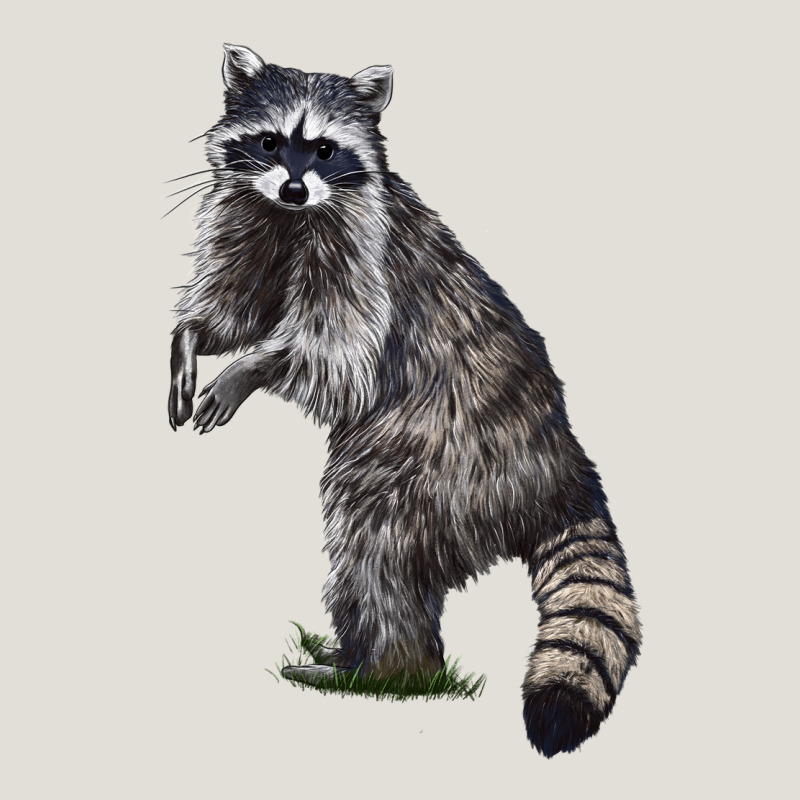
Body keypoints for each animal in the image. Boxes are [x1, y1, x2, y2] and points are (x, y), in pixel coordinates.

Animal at [167, 44, 642, 757]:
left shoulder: (362, 255)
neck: (292, 217)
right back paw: (358, 656)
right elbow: (236, 305)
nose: (294, 188)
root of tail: (560, 468)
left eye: (325, 148)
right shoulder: (249, 218)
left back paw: (386, 668)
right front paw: (193, 336)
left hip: (440, 461)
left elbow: (338, 352)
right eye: (270, 141)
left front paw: (250, 367)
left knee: (373, 540)